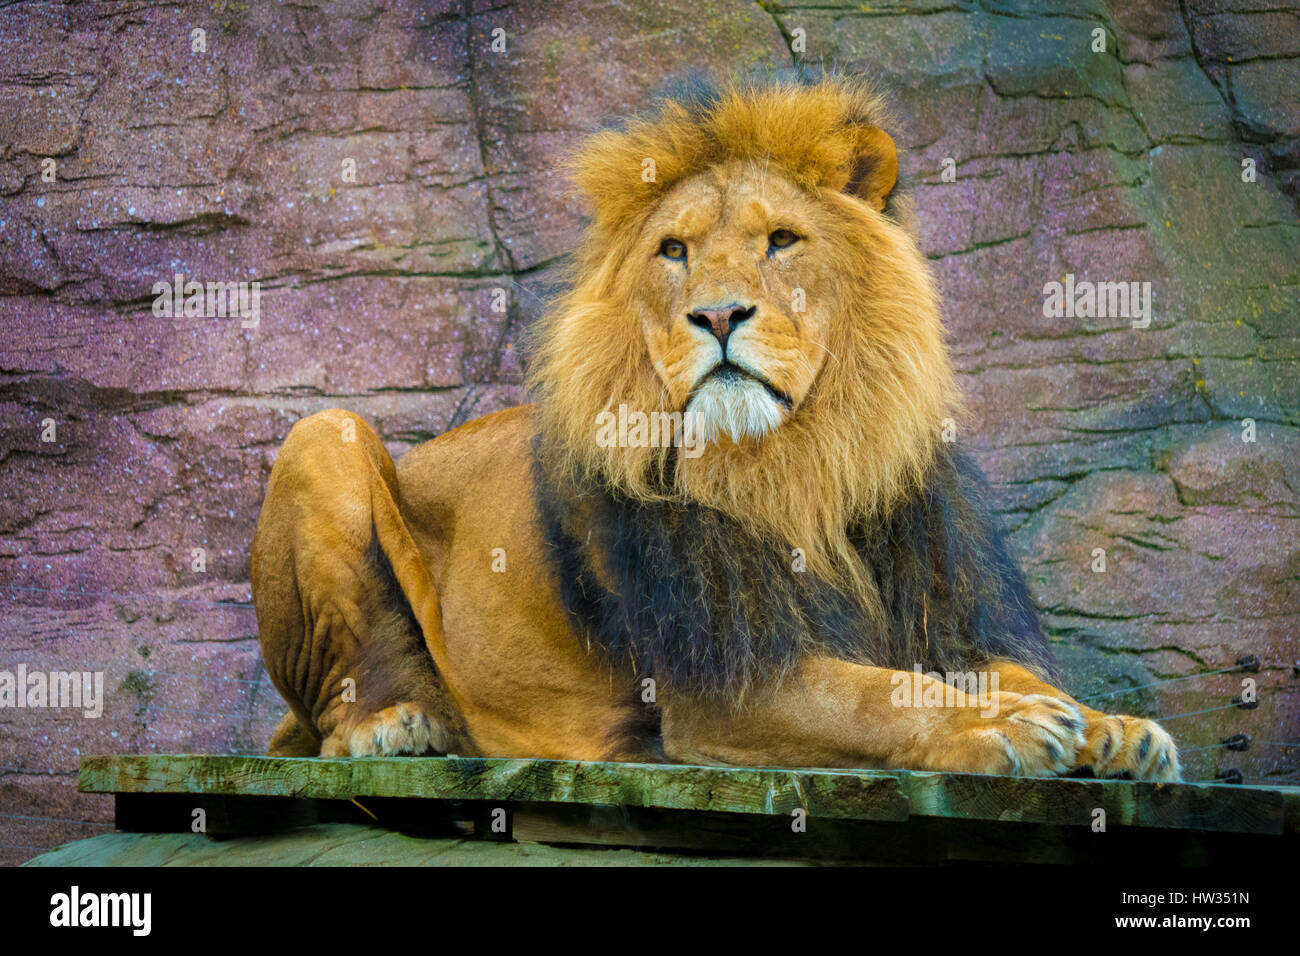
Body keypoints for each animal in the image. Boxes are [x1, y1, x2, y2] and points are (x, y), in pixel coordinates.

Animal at [250, 74, 1180, 781]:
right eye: (674, 250)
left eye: (782, 240)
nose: (719, 314)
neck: (797, 465)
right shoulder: (726, 683)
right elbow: (873, 695)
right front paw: (1004, 727)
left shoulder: (938, 612)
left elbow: (1006, 674)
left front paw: (1110, 724)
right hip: (324, 434)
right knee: (327, 712)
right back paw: (396, 723)